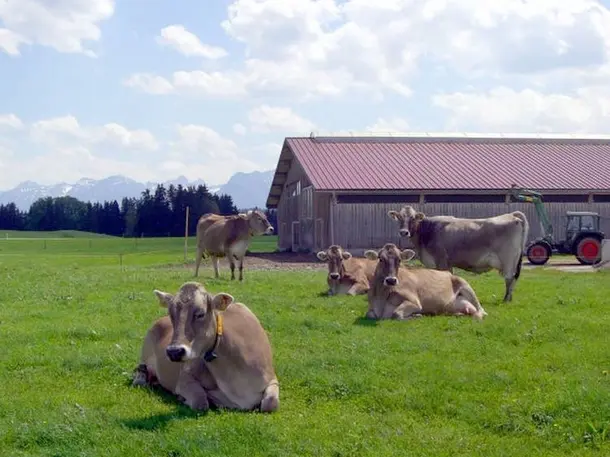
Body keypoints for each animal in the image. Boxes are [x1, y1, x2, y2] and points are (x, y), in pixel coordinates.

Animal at [132, 280, 280, 412]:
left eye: (200, 314)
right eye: (171, 314)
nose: (174, 352)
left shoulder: (272, 378)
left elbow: (270, 403)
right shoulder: (184, 376)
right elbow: (200, 402)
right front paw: (184, 398)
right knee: (140, 372)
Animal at [390, 205, 528, 302]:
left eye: (413, 218)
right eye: (399, 217)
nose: (404, 232)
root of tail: (512, 215)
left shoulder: (441, 260)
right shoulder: (447, 263)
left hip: (508, 259)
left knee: (509, 278)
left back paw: (506, 299)